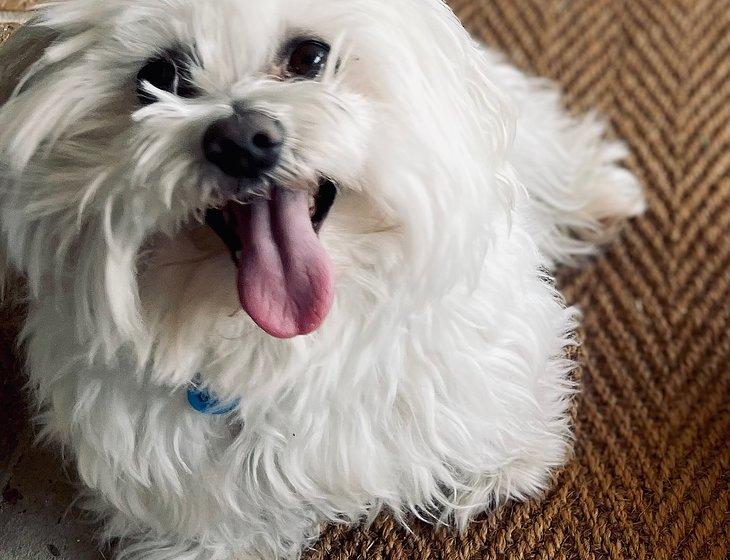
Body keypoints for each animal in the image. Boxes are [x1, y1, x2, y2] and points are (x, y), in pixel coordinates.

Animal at [0, 0, 640, 556]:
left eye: (310, 56)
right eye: (159, 77)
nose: (242, 140)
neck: (277, 340)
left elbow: (489, 417)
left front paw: (504, 463)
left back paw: (597, 191)